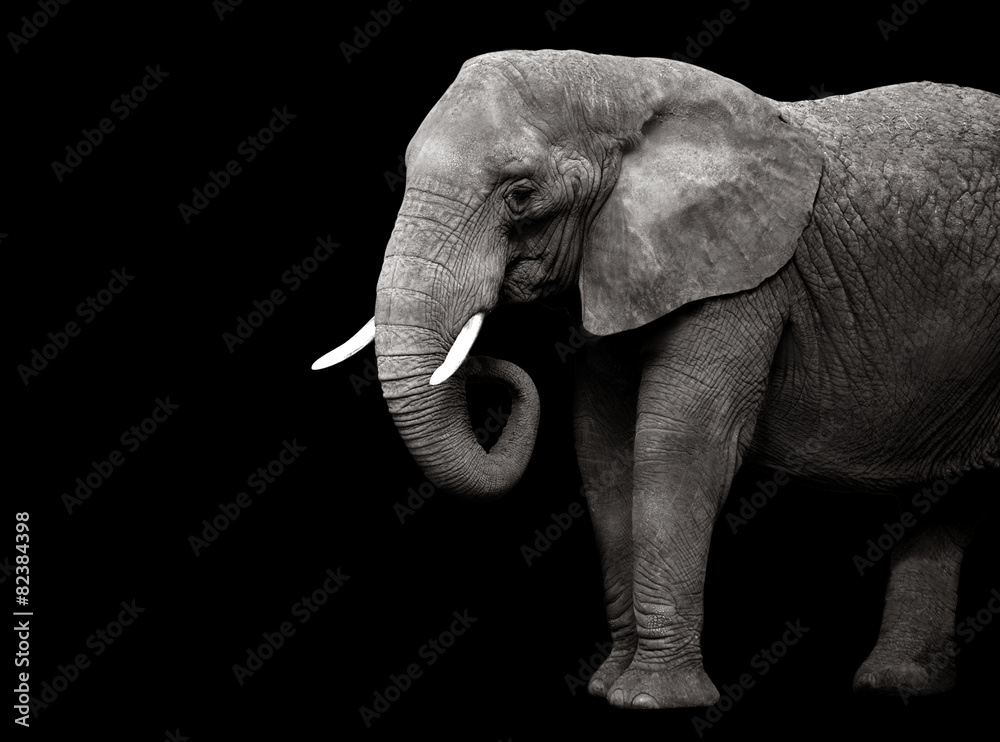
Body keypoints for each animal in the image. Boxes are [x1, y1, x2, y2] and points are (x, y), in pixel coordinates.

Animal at [313, 49, 999, 709]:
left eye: (520, 194)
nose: (486, 353)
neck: (620, 85)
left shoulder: (742, 276)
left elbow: (679, 446)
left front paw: (652, 700)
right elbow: (603, 449)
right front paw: (607, 689)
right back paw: (898, 686)